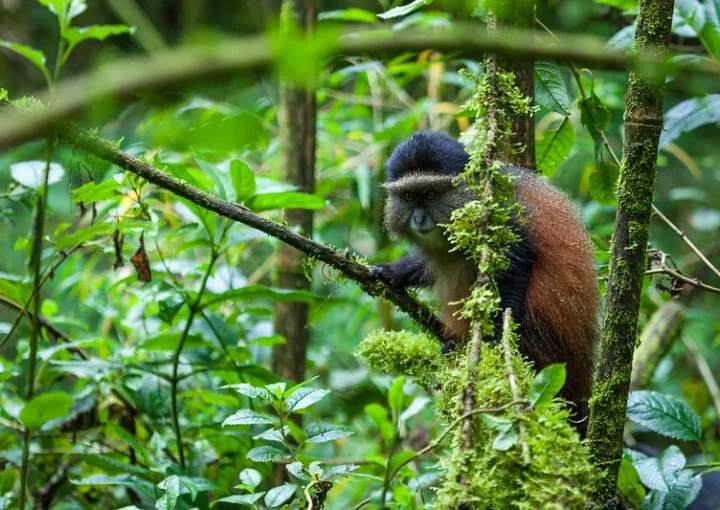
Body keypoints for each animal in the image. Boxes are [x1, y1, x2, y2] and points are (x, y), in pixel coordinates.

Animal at [371, 130, 599, 434]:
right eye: (408, 196)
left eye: (431, 194)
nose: (419, 219)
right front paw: (392, 272)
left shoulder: (501, 217)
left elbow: (515, 264)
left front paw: (492, 345)